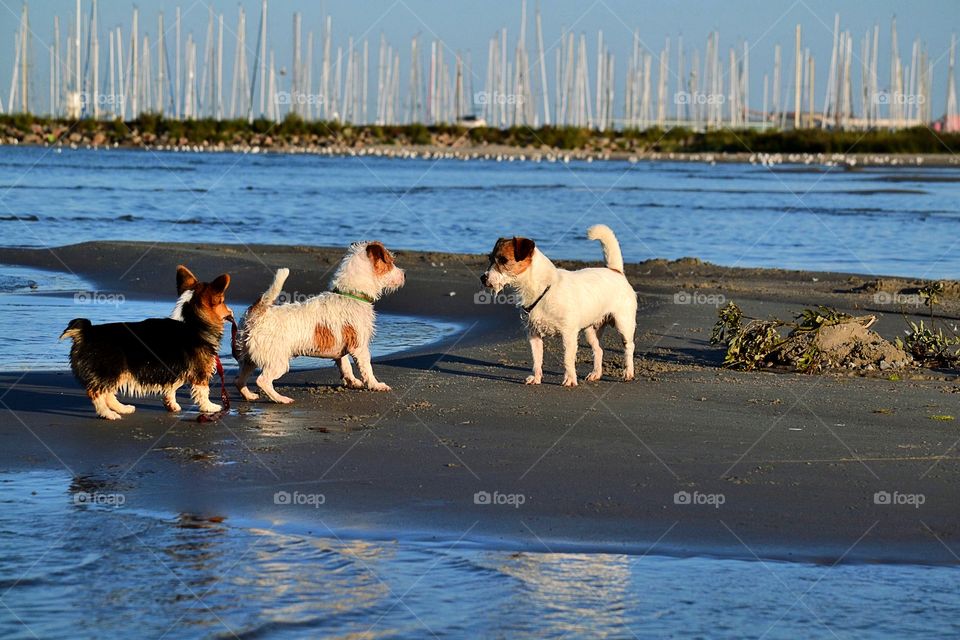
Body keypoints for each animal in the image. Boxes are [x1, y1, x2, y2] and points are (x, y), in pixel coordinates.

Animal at [233, 242, 404, 402]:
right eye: (390, 262)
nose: (404, 274)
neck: (351, 294)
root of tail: (258, 312)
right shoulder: (360, 347)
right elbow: (367, 368)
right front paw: (376, 385)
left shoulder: (341, 349)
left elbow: (345, 366)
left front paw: (353, 382)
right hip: (277, 361)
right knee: (263, 380)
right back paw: (281, 399)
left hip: (249, 359)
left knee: (238, 380)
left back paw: (249, 395)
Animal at [480, 224, 636, 384]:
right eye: (490, 259)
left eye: (503, 260)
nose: (483, 278)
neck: (542, 289)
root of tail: (615, 271)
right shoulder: (533, 334)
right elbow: (537, 359)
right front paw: (536, 378)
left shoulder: (569, 334)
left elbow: (567, 359)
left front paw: (570, 380)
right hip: (591, 330)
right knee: (598, 350)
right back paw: (596, 373)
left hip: (624, 323)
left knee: (629, 347)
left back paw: (628, 372)